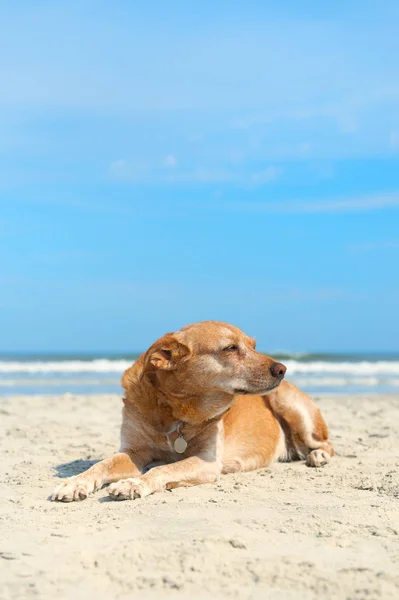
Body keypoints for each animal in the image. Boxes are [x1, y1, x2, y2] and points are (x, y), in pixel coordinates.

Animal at [52, 318, 334, 502]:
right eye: (231, 348)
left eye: (253, 346)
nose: (282, 369)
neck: (177, 412)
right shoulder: (133, 451)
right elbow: (101, 464)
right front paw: (75, 482)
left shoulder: (207, 461)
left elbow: (162, 469)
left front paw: (134, 483)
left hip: (286, 402)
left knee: (326, 443)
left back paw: (318, 456)